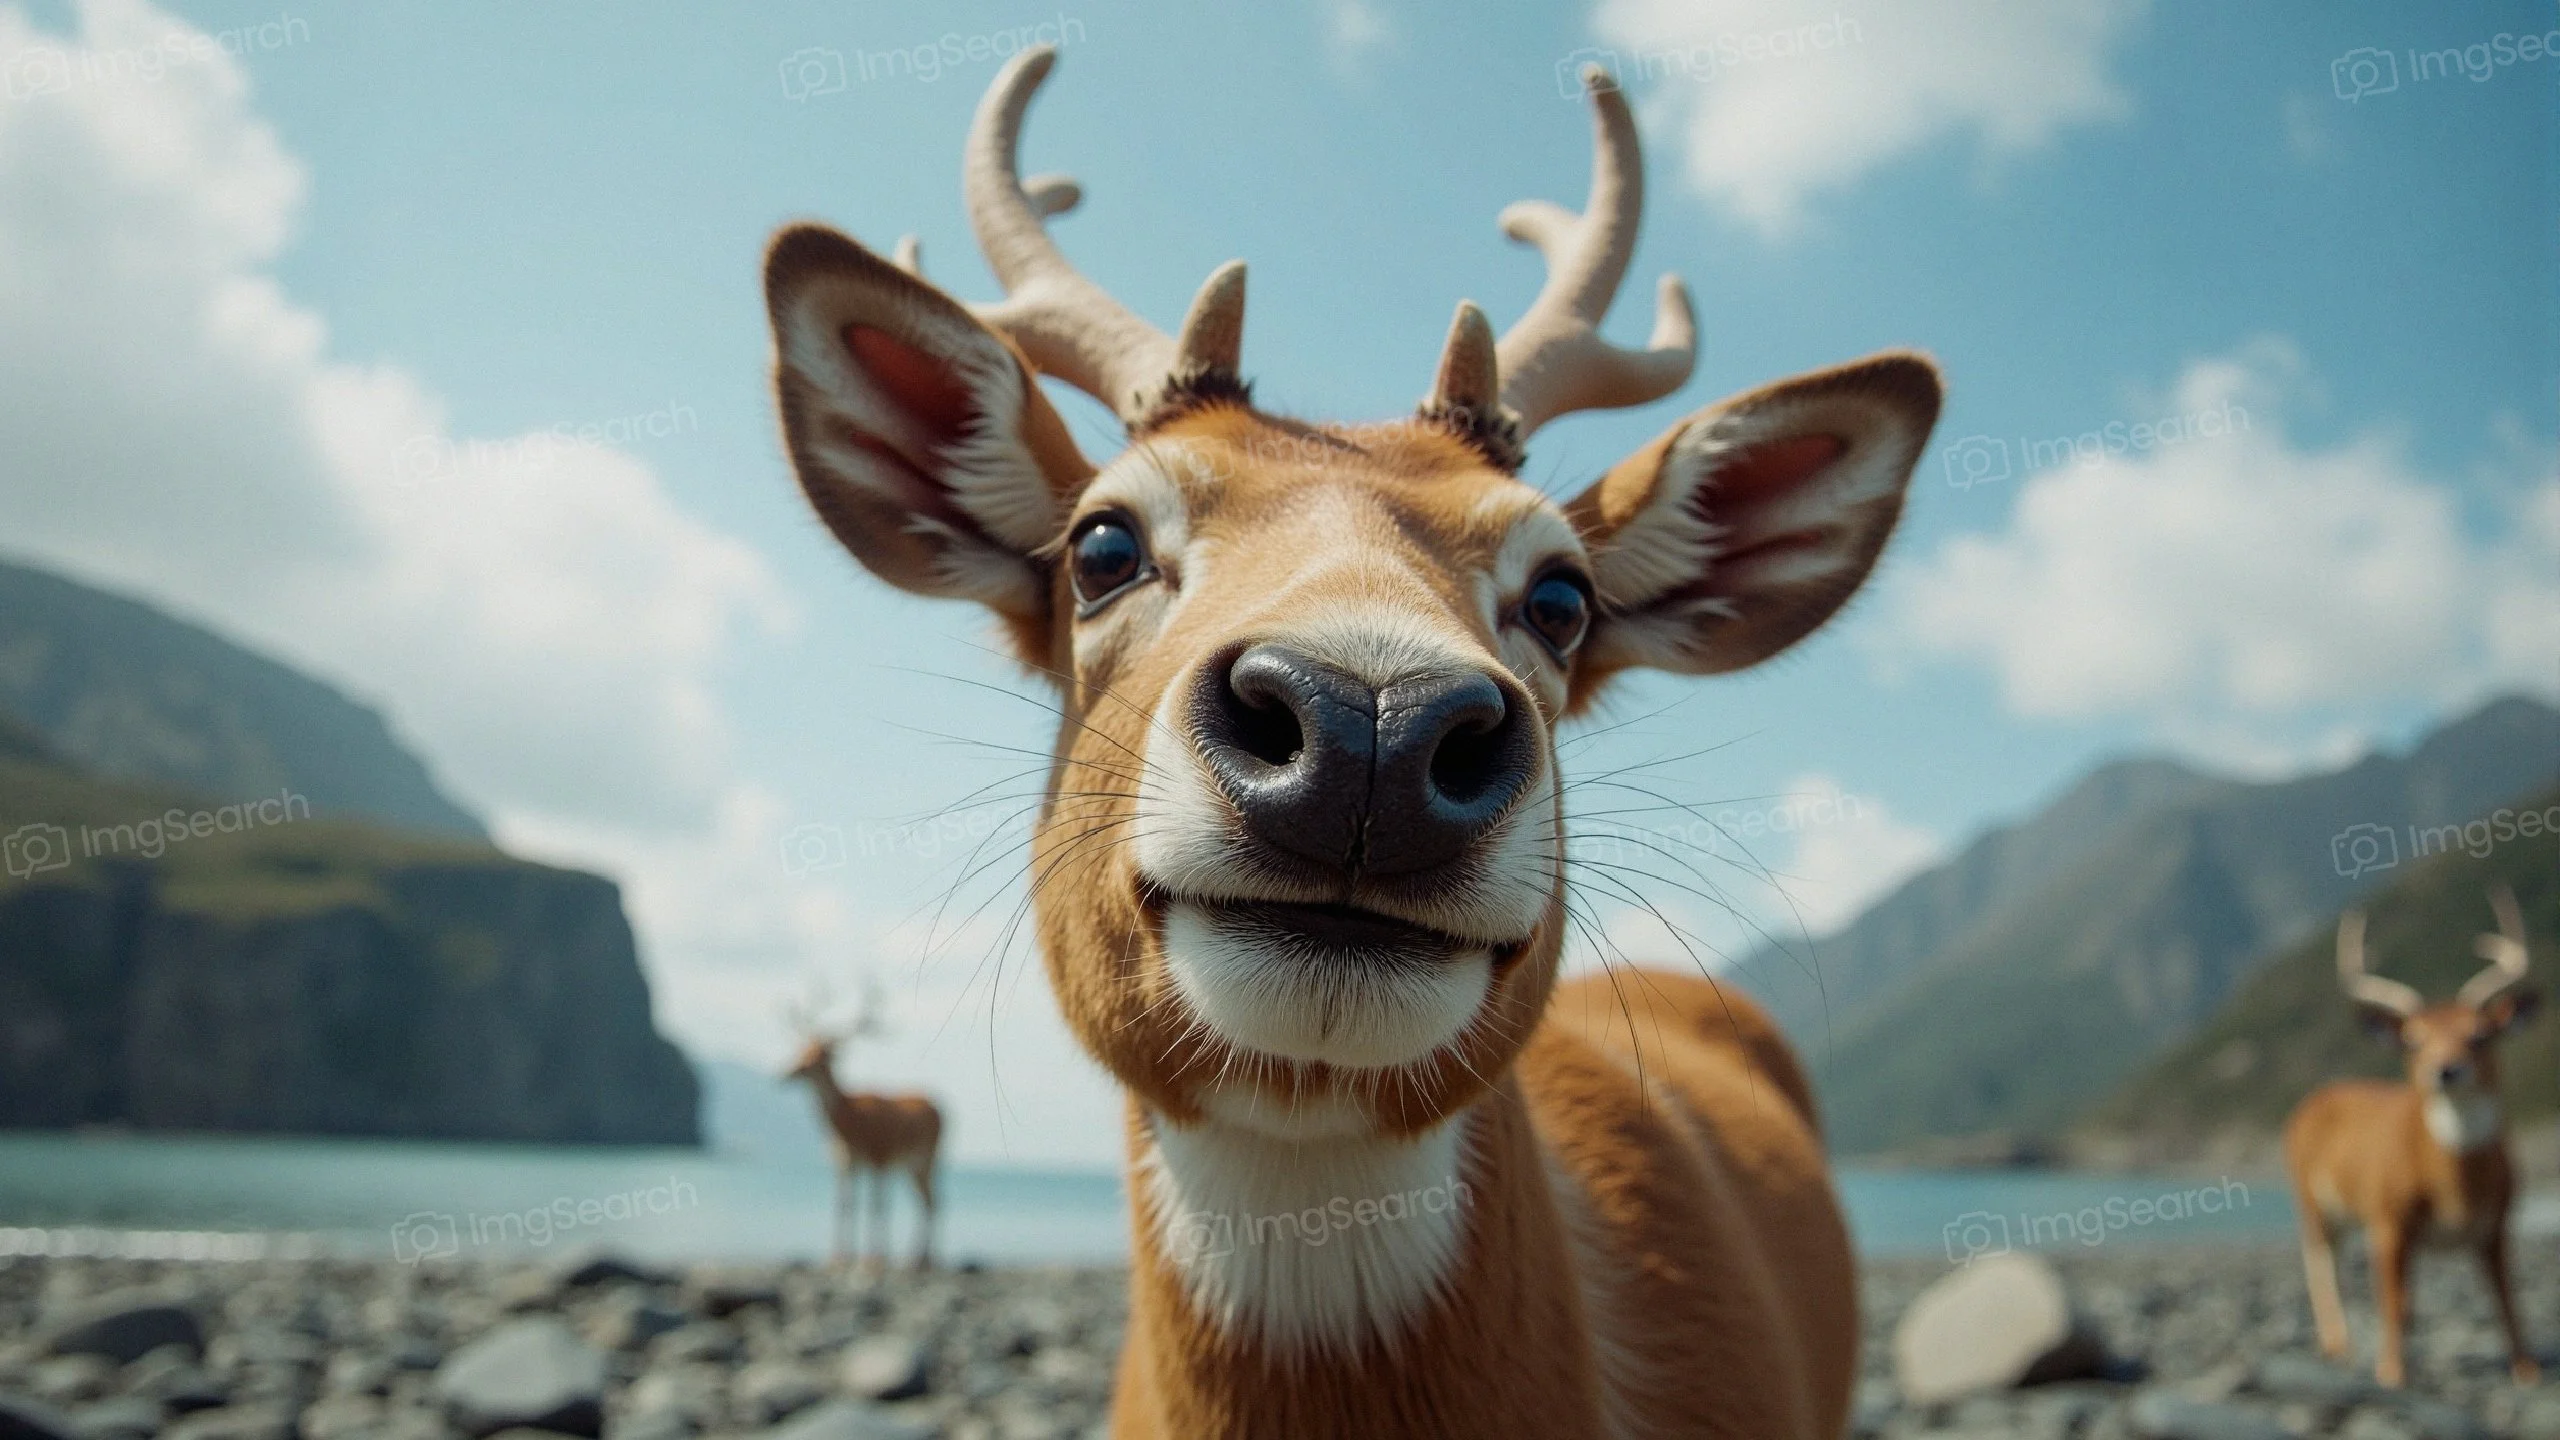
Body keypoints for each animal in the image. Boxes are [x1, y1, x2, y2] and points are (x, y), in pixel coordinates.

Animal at [781, 981, 945, 1271]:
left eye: (819, 1056)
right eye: (802, 1049)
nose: (786, 1072)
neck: (847, 1126)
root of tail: (943, 1109)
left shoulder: (879, 1156)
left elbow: (877, 1206)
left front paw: (874, 1259)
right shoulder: (844, 1161)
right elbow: (845, 1204)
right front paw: (838, 1258)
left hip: (927, 1156)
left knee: (933, 1200)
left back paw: (924, 1260)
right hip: (912, 1165)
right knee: (927, 1200)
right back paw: (918, 1259)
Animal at [2285, 886, 2542, 1388]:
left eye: (2480, 1035)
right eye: (2414, 1040)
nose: (2445, 1070)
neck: (2454, 1190)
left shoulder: (2497, 1223)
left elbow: (2506, 1298)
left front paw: (2527, 1368)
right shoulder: (2386, 1219)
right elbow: (2391, 1303)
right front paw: (2391, 1371)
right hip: (2312, 1198)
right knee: (2321, 1259)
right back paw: (2338, 1344)